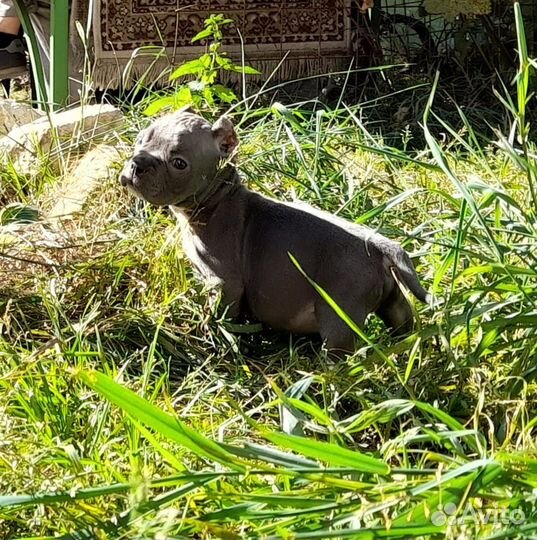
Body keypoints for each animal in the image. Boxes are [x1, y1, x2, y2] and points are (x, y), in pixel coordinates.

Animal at [119, 109, 430, 352]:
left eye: (179, 163)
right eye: (139, 140)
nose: (137, 163)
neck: (217, 200)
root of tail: (379, 245)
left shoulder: (224, 284)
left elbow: (219, 317)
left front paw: (212, 338)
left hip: (339, 312)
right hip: (392, 300)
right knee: (403, 319)